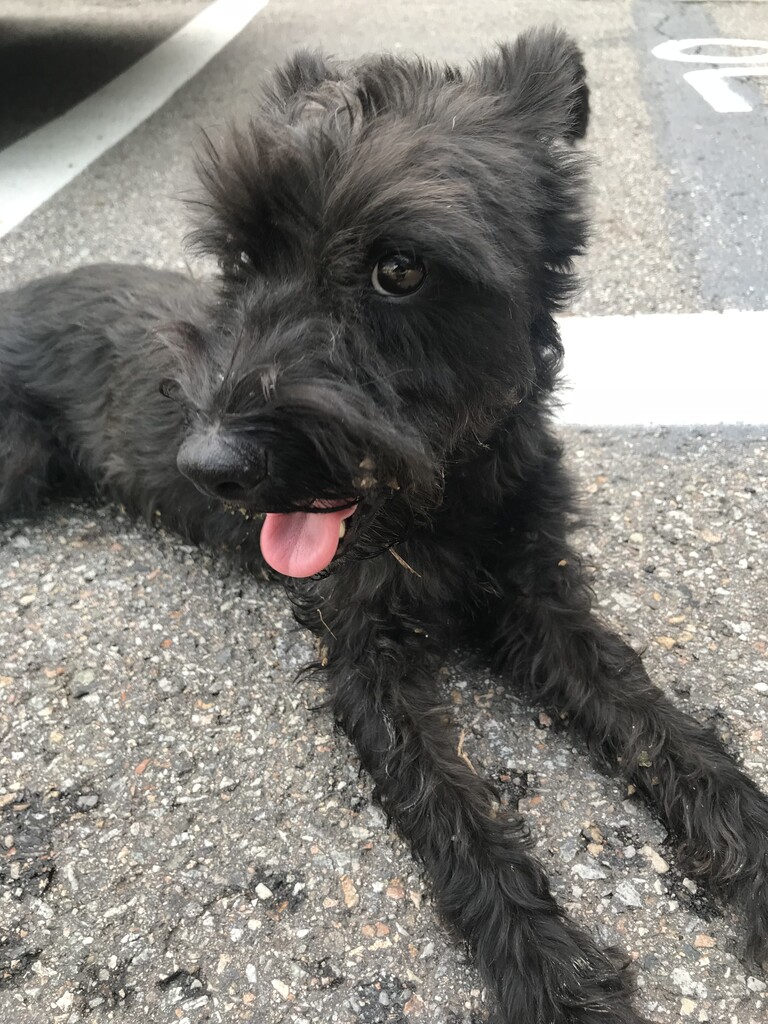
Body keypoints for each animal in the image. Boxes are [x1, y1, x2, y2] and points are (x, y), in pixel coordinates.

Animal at [1, 28, 766, 1024]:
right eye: (241, 261)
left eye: (399, 269)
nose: (207, 466)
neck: (448, 500)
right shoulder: (364, 651)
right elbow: (451, 808)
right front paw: (550, 970)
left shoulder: (541, 599)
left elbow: (650, 719)